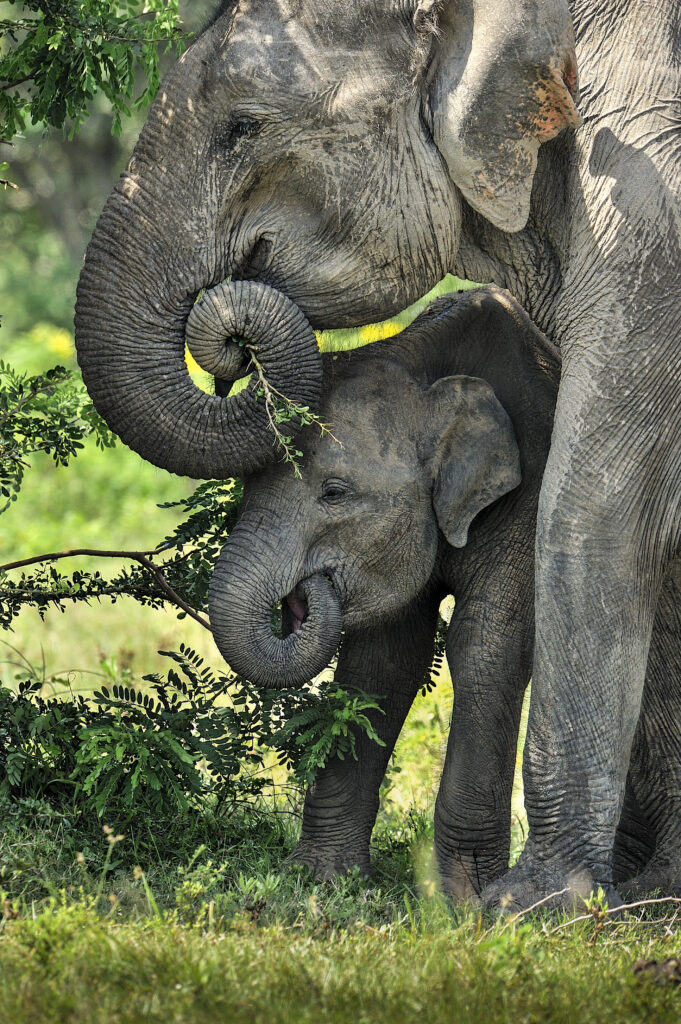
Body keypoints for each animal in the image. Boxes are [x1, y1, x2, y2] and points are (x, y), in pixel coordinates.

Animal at [208, 286, 557, 897]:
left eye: (335, 493)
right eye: (247, 480)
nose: (307, 591)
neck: (427, 374)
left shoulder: (528, 498)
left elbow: (487, 643)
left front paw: (468, 901)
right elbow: (387, 656)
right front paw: (323, 879)